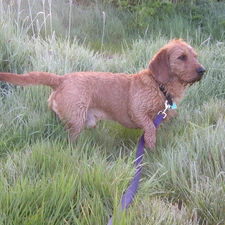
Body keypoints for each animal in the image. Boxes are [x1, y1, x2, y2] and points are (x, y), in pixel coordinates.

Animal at [0, 39, 205, 150]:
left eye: (195, 56)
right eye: (182, 57)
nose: (202, 70)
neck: (159, 86)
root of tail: (61, 79)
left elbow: (151, 133)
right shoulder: (138, 113)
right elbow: (149, 131)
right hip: (76, 121)